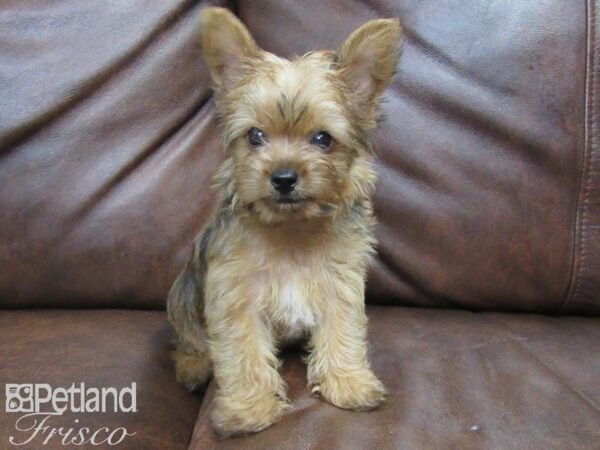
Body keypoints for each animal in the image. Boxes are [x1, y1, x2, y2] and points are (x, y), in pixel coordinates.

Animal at [166, 6, 406, 436]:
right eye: (255, 136)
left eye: (323, 139)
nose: (283, 177)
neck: (292, 228)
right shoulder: (235, 296)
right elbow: (244, 354)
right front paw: (250, 409)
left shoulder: (340, 284)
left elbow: (342, 331)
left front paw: (348, 381)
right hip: (182, 297)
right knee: (186, 341)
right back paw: (195, 367)